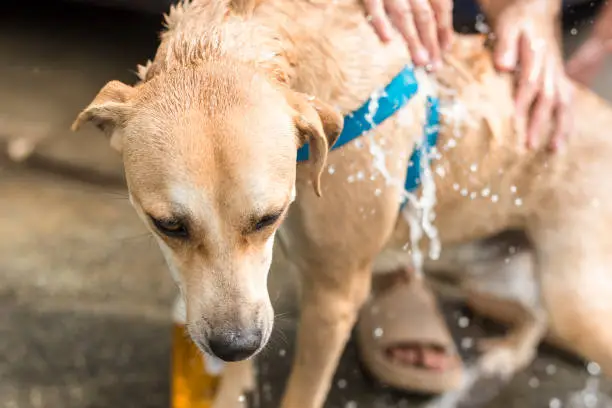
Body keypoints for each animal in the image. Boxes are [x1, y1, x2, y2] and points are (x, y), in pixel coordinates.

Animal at [74, 0, 612, 408]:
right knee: (534, 315)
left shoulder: (334, 297)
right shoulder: (251, 295)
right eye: (168, 225)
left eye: (269, 216)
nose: (234, 347)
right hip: (487, 273)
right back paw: (507, 353)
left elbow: (301, 393)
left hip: (575, 299)